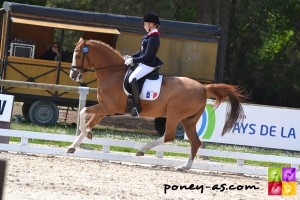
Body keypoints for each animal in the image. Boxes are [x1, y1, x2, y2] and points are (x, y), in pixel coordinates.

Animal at [67, 37, 245, 170]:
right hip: (189, 120)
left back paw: (142, 150)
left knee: (169, 135)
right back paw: (184, 167)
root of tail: (203, 87)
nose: (73, 75)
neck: (113, 74)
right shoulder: (104, 109)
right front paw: (75, 145)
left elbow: (83, 111)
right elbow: (88, 121)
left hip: (175, 114)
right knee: (195, 142)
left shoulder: (108, 107)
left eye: (78, 55)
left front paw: (87, 134)